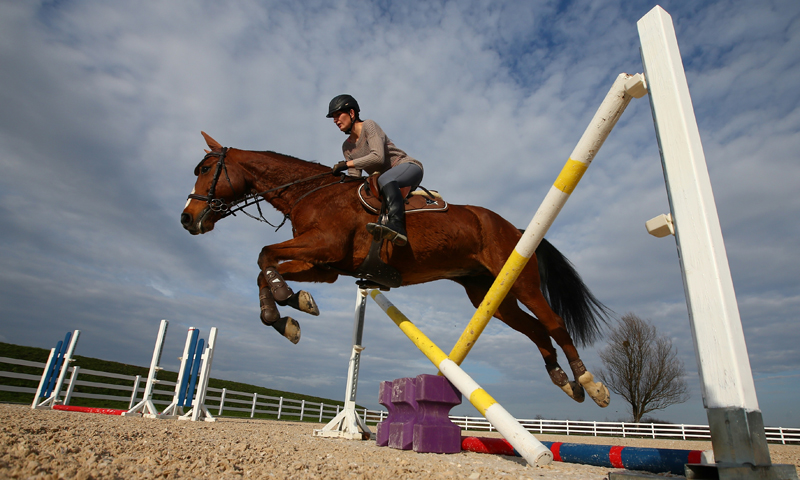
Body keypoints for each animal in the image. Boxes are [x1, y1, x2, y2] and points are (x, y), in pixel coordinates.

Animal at [180, 132, 612, 408]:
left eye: (204, 168)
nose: (186, 219)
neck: (313, 194)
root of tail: (516, 228)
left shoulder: (324, 247)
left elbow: (263, 255)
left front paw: (287, 301)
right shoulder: (324, 265)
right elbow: (264, 265)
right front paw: (289, 313)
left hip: (521, 282)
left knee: (553, 323)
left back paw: (590, 385)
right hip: (489, 294)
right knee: (536, 329)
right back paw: (563, 382)